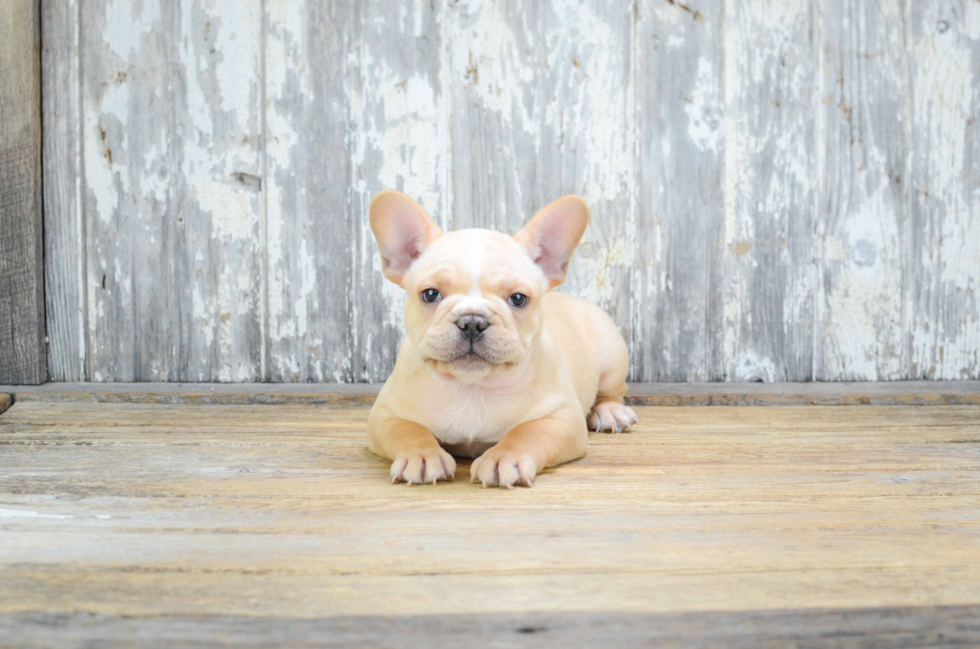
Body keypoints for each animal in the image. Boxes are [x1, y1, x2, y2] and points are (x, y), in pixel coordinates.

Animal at [366, 190, 636, 488]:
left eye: (518, 298)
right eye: (430, 294)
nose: (472, 321)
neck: (471, 386)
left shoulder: (562, 417)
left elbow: (527, 432)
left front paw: (504, 458)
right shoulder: (385, 414)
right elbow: (409, 430)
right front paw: (422, 456)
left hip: (613, 354)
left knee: (611, 392)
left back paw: (610, 412)